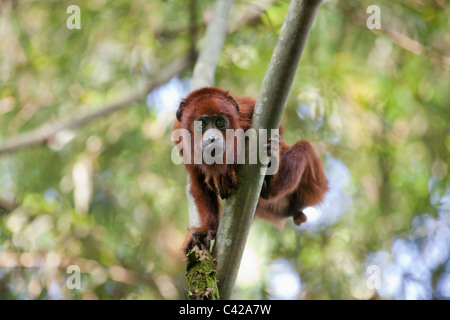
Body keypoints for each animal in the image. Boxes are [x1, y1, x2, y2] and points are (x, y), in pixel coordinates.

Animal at [172, 87, 326, 252]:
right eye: (202, 124)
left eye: (220, 122)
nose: (213, 139)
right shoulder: (179, 136)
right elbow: (197, 180)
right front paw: (208, 228)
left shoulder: (245, 109)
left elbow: (277, 129)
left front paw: (226, 172)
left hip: (314, 186)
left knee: (304, 148)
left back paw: (270, 177)